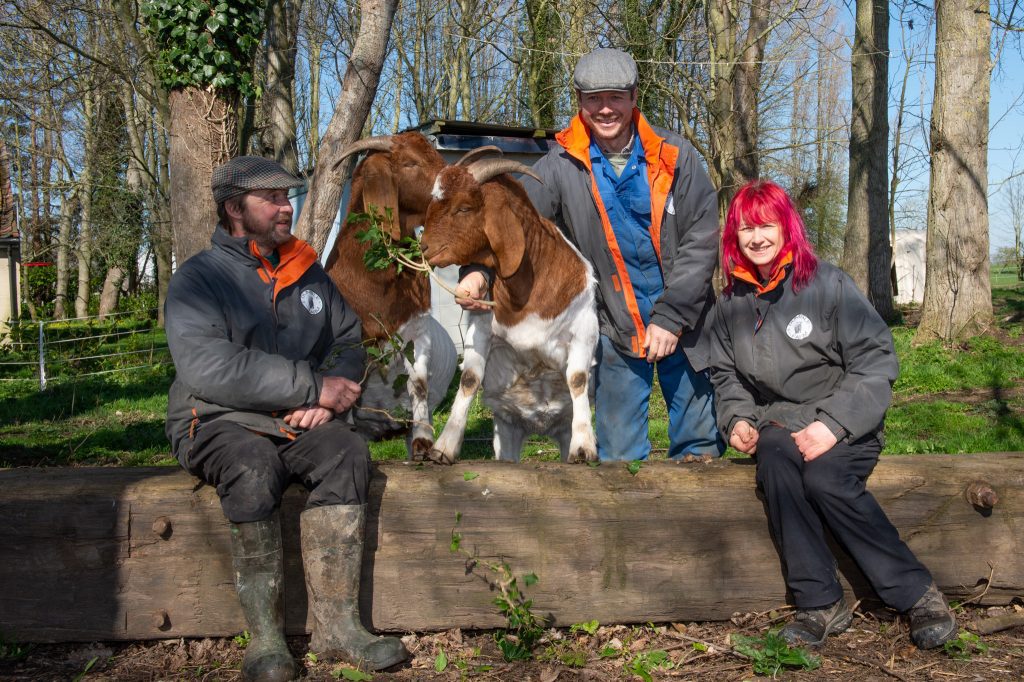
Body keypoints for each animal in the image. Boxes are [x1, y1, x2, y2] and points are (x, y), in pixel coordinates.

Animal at [417, 155, 598, 462]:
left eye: (464, 207)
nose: (424, 246)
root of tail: (540, 429)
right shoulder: (481, 327)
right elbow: (469, 379)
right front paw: (444, 447)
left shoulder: (584, 330)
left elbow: (577, 379)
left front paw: (584, 447)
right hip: (507, 432)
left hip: (561, 429)